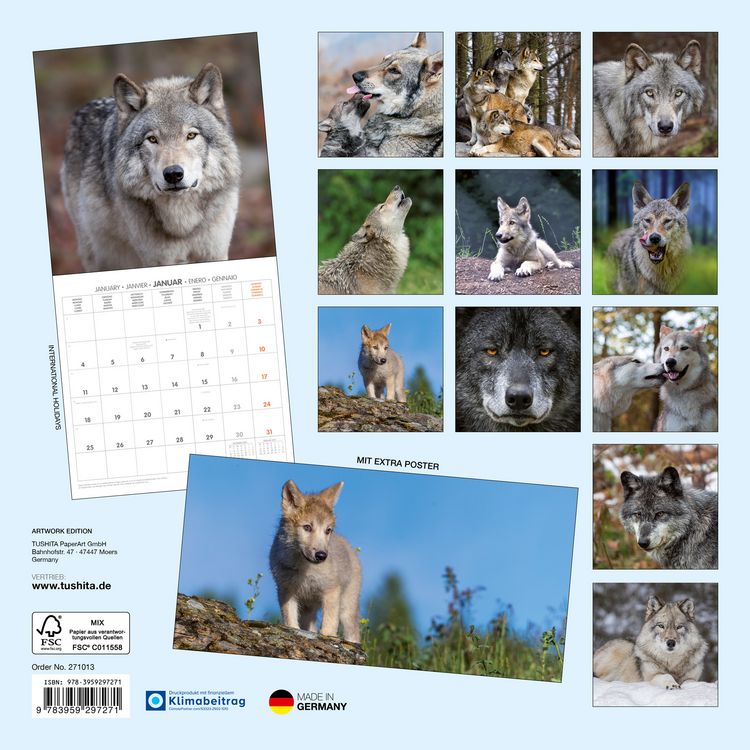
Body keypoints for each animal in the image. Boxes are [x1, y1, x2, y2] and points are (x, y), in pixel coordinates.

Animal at [62, 63, 241, 272]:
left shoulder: (215, 253)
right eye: (152, 139)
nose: (173, 174)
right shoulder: (159, 259)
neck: (182, 224)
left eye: (191, 135)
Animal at [269, 480, 362, 643]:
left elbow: (329, 625)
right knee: (311, 628)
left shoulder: (331, 591)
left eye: (328, 530)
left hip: (347, 609)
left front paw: (329, 636)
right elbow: (291, 621)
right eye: (307, 527)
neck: (303, 569)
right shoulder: (286, 591)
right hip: (308, 609)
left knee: (353, 635)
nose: (321, 555)